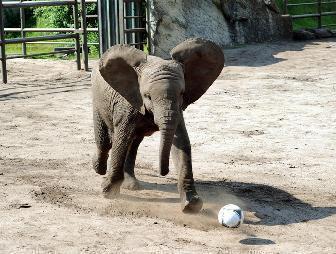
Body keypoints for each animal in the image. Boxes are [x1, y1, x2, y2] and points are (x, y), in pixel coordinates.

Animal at [90, 37, 224, 212]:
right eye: (147, 96)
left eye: (182, 93)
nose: (164, 172)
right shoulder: (128, 103)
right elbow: (122, 139)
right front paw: (108, 192)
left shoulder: (177, 109)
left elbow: (181, 142)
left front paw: (191, 205)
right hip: (97, 98)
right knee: (106, 140)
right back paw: (98, 168)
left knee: (133, 143)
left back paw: (131, 185)